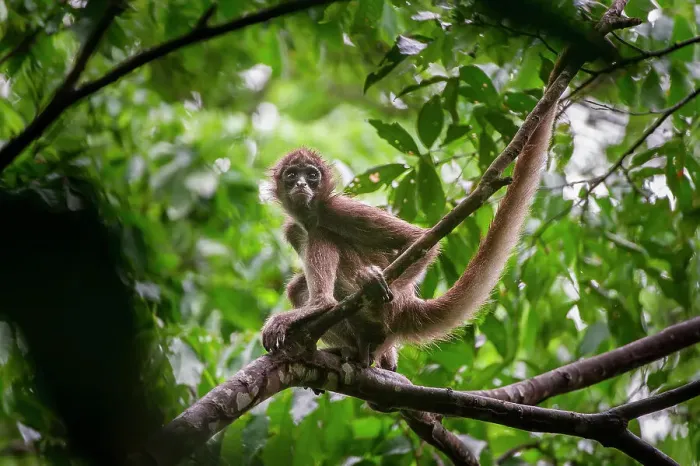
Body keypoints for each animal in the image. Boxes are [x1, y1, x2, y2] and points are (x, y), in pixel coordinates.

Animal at [262, 106, 556, 372]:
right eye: (292, 175)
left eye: (312, 175)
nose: (301, 185)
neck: (312, 215)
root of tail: (405, 308)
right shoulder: (292, 227)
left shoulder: (337, 209)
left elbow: (421, 242)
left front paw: (371, 284)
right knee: (298, 284)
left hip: (383, 311)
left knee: (322, 240)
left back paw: (328, 305)